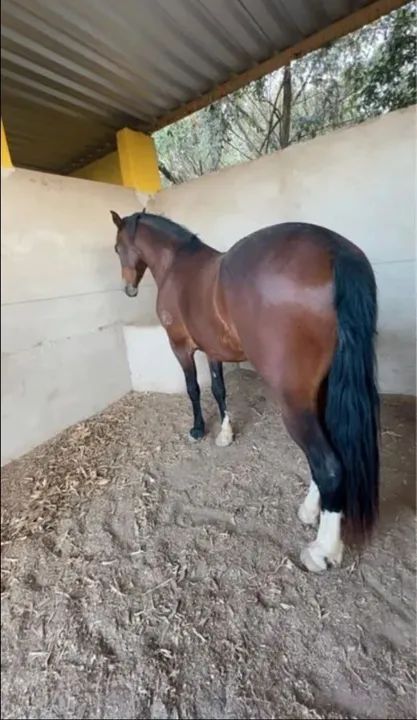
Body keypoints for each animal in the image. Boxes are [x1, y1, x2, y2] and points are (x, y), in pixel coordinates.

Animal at [110, 209, 380, 573]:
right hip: (321, 392)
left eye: (117, 247)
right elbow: (219, 389)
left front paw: (198, 429)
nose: (128, 287)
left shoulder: (181, 347)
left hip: (295, 402)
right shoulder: (212, 350)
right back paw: (311, 511)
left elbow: (194, 388)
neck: (177, 264)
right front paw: (224, 433)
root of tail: (335, 250)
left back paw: (323, 550)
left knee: (328, 465)